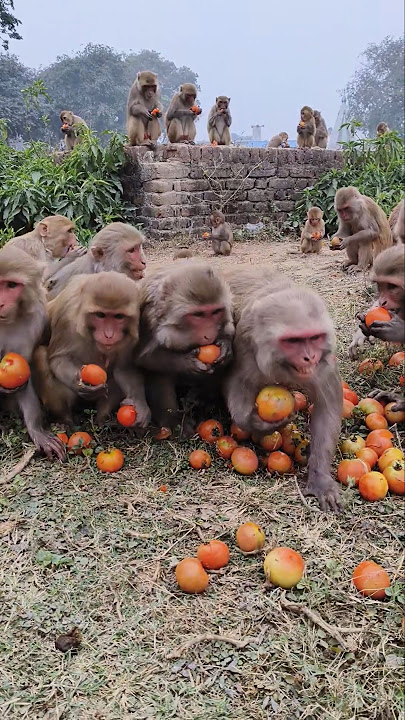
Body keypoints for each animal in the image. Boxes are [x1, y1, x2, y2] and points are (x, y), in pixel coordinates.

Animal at [34, 271, 150, 427]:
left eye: (118, 316)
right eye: (100, 315)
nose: (109, 335)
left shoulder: (137, 325)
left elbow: (124, 368)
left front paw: (139, 403)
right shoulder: (66, 314)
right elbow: (59, 359)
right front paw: (79, 383)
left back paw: (102, 418)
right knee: (40, 355)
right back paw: (65, 419)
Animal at [134, 260, 234, 431]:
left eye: (215, 312)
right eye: (198, 315)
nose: (209, 335)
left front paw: (226, 347)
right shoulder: (148, 317)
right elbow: (144, 358)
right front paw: (188, 363)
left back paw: (204, 400)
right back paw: (172, 419)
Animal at [221, 265, 342, 512]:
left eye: (314, 338)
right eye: (293, 341)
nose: (309, 357)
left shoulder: (323, 362)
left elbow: (327, 409)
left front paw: (320, 478)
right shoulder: (246, 343)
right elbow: (238, 383)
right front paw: (256, 423)